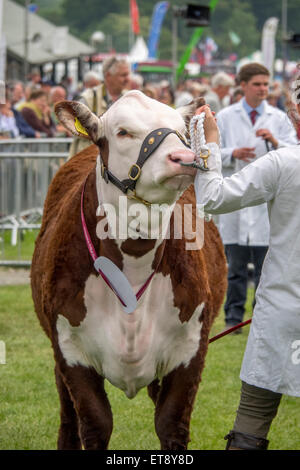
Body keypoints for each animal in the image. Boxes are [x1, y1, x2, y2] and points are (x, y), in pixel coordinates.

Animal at [31, 90, 227, 450]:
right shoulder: (69, 350)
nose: (184, 156)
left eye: (182, 131)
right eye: (123, 132)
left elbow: (171, 424)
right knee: (67, 414)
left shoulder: (191, 347)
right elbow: (95, 424)